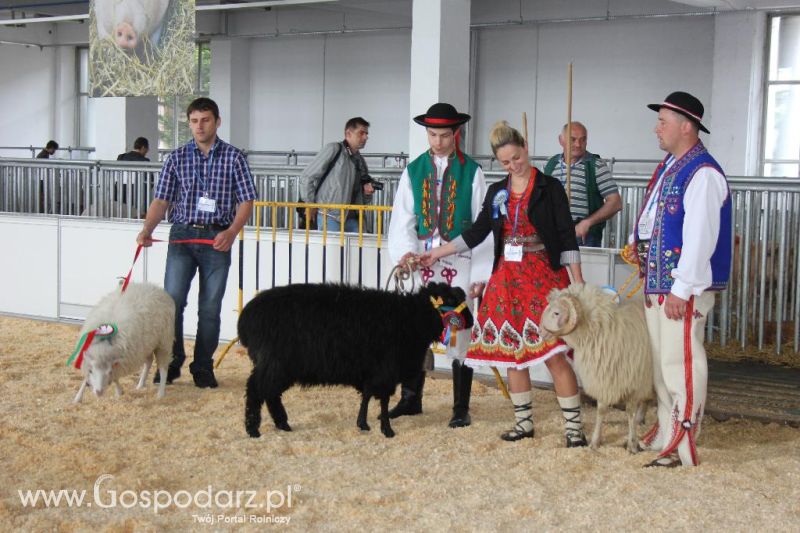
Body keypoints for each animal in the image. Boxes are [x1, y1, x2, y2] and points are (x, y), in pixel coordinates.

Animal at [241, 280, 472, 438]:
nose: (470, 321)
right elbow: (383, 400)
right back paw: (253, 429)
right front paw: (387, 430)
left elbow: (367, 395)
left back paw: (283, 424)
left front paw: (363, 423)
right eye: (451, 300)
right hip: (276, 363)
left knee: (270, 393)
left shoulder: (373, 371)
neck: (410, 318)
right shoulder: (386, 370)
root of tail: (246, 318)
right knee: (256, 389)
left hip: (280, 367)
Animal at [536, 284, 656, 450]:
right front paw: (595, 441)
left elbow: (629, 412)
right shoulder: (603, 378)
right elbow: (601, 411)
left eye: (556, 313)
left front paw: (632, 443)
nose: (539, 331)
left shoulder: (633, 384)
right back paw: (641, 419)